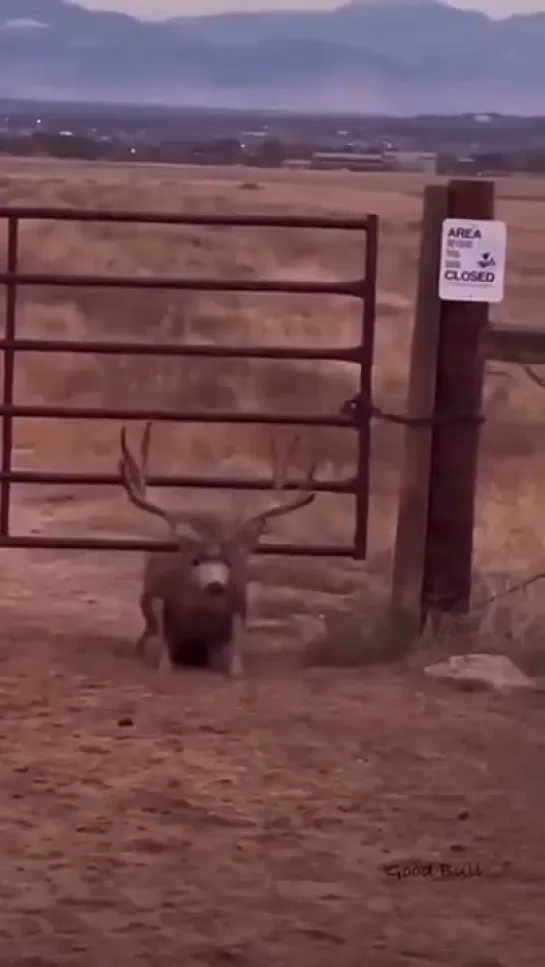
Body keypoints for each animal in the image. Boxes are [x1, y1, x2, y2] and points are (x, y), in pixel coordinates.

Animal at [115, 424, 318, 680]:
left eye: (229, 561)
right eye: (195, 560)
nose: (215, 585)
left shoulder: (239, 604)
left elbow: (235, 650)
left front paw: (236, 670)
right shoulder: (156, 595)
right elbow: (159, 642)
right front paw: (162, 665)